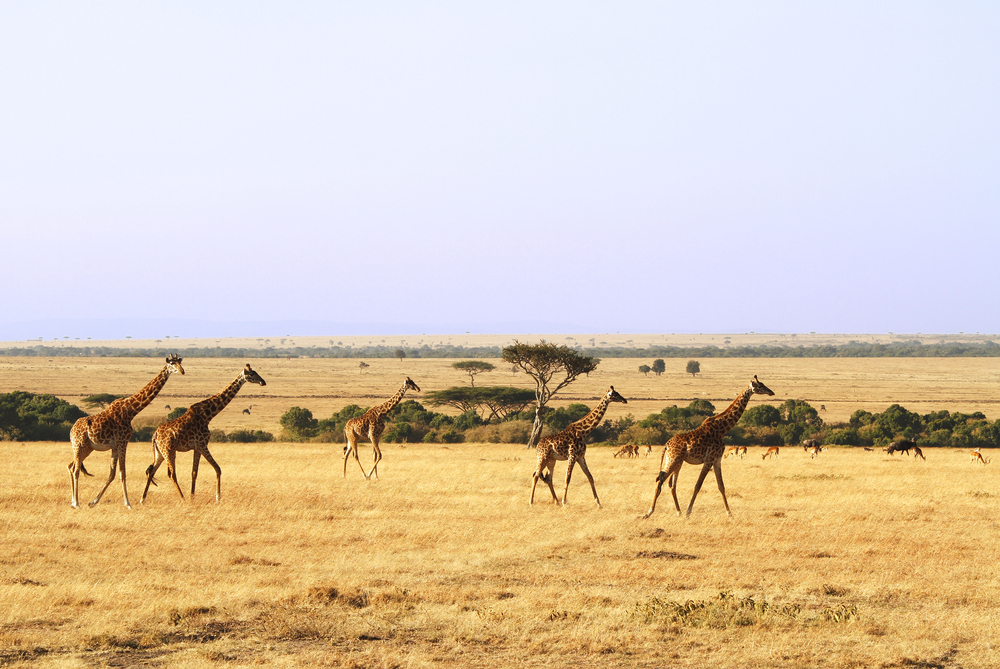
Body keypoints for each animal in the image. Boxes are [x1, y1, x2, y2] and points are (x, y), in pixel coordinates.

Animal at [67, 354, 185, 506]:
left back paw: (73, 500)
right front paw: (128, 503)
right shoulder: (123, 442)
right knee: (75, 469)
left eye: (180, 362)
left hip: (87, 448)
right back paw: (76, 503)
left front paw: (94, 502)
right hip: (79, 445)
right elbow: (122, 472)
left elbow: (112, 474)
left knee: (71, 466)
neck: (130, 411)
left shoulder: (115, 446)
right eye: (171, 363)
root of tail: (72, 429)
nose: (182, 371)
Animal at [141, 366, 268, 500]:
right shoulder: (203, 445)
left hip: (159, 452)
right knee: (171, 474)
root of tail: (155, 435)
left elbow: (194, 472)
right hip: (169, 450)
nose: (263, 382)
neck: (208, 414)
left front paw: (193, 497)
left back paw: (143, 499)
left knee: (151, 471)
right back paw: (182, 498)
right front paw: (217, 497)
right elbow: (218, 469)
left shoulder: (197, 447)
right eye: (252, 374)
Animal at [644, 374, 776, 520]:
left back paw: (678, 512)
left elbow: (721, 486)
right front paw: (688, 512)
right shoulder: (709, 459)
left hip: (676, 461)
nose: (771, 392)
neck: (722, 429)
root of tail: (666, 445)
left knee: (671, 484)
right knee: (659, 480)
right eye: (760, 386)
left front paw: (729, 513)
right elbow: (698, 485)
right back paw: (649, 512)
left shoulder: (717, 459)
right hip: (674, 460)